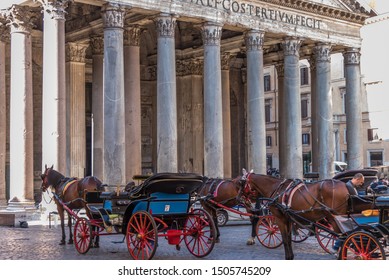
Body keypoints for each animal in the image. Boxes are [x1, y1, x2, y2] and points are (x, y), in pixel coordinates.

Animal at [241, 168, 374, 260]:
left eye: (241, 182)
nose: (241, 199)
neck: (276, 189)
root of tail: (345, 186)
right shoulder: (288, 218)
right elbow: (288, 238)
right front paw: (291, 256)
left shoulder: (280, 218)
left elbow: (285, 238)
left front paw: (288, 257)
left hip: (335, 216)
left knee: (341, 236)